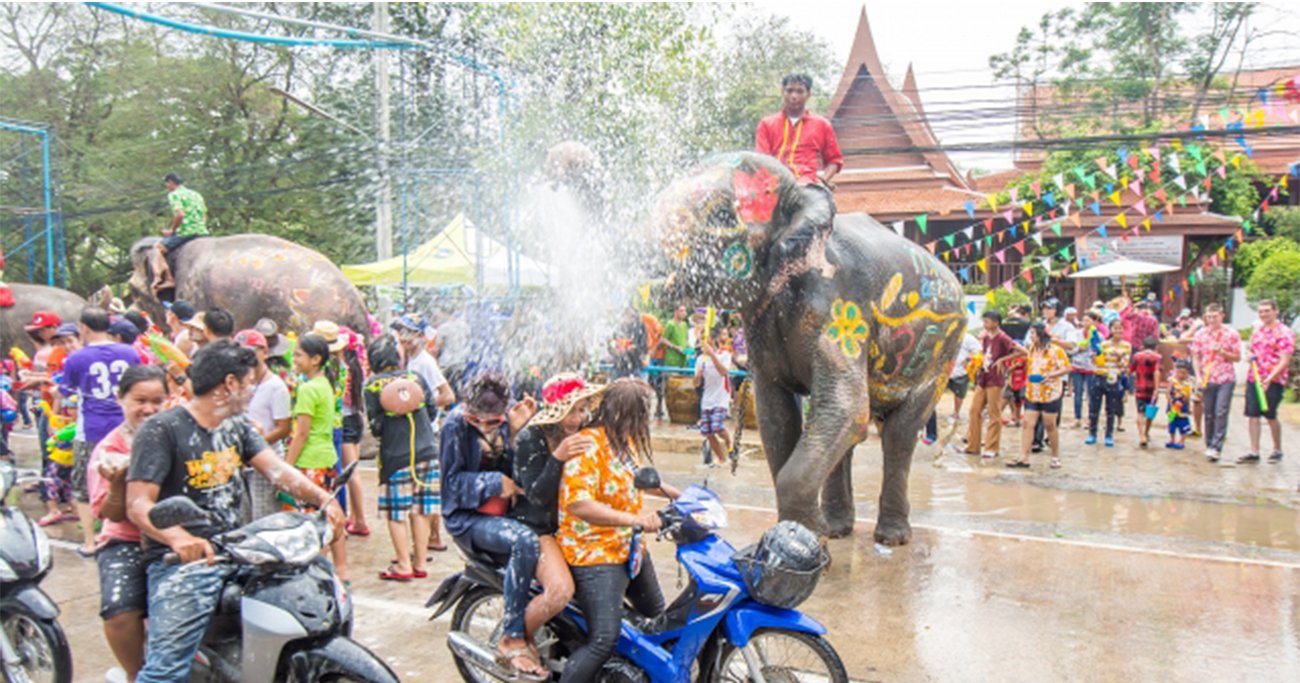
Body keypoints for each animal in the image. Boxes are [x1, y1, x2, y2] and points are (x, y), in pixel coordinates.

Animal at [650, 152, 967, 543]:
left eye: (721, 216)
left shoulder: (838, 308)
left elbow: (847, 410)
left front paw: (805, 535)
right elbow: (777, 419)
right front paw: (807, 533)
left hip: (942, 354)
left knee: (897, 432)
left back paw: (891, 537)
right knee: (848, 427)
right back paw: (838, 529)